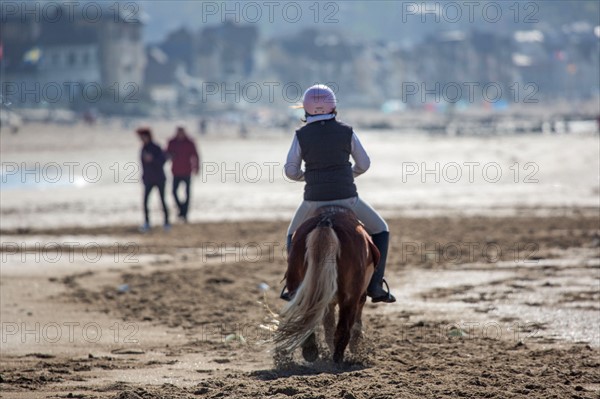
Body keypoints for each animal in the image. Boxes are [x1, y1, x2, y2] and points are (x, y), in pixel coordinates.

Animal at [274, 206, 378, 366]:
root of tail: (326, 222)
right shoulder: (357, 296)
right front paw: (356, 345)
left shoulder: (325, 300)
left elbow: (328, 327)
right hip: (349, 297)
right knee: (343, 328)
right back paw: (338, 359)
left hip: (300, 288)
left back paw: (311, 351)